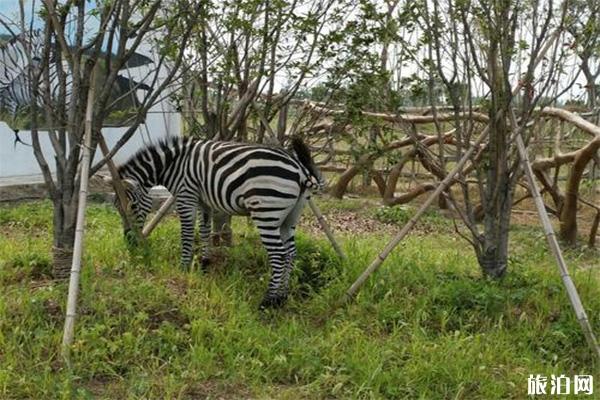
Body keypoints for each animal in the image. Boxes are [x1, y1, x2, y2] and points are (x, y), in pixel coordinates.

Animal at [115, 136, 326, 308]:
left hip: (266, 212)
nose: (129, 241)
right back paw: (282, 296)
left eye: (132, 206)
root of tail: (300, 170)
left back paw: (268, 300)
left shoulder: (186, 196)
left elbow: (187, 234)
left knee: (279, 255)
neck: (173, 164)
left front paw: (184, 267)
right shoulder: (204, 201)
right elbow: (205, 230)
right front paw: (204, 263)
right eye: (118, 209)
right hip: (289, 218)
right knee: (291, 253)